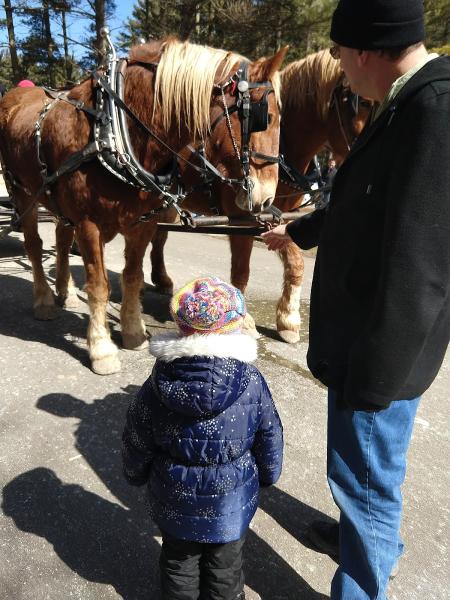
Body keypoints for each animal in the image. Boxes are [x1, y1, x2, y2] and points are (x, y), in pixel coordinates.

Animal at [0, 37, 286, 372]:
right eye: (265, 117)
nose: (267, 198)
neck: (113, 129)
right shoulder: (88, 222)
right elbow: (99, 285)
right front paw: (101, 348)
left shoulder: (142, 222)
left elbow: (133, 277)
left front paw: (133, 331)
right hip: (23, 192)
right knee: (33, 245)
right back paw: (45, 300)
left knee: (60, 239)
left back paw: (66, 292)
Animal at [149, 50, 370, 342]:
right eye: (363, 102)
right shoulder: (244, 217)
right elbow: (242, 269)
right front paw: (246, 321)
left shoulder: (281, 218)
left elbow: (296, 263)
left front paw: (288, 320)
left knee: (158, 235)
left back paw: (161, 279)